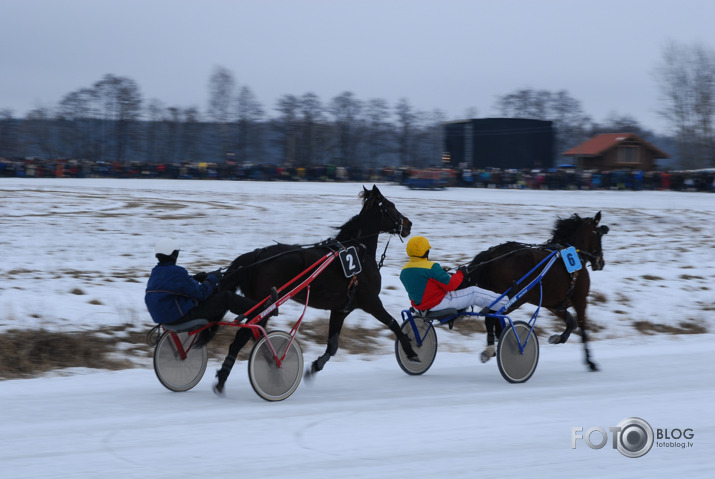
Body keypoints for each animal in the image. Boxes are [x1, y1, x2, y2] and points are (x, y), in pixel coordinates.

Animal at [218, 186, 416, 392]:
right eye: (391, 206)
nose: (408, 224)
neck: (360, 252)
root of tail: (256, 256)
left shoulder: (340, 310)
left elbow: (332, 346)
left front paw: (315, 366)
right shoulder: (371, 302)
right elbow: (393, 323)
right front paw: (411, 351)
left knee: (251, 336)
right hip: (263, 306)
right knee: (241, 338)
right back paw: (231, 375)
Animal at [464, 212, 608, 374]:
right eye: (599, 235)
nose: (601, 262)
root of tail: (492, 254)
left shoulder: (553, 304)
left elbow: (571, 322)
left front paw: (558, 338)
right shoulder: (580, 300)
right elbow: (583, 329)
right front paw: (591, 362)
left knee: (493, 319)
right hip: (514, 298)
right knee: (490, 318)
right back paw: (495, 347)